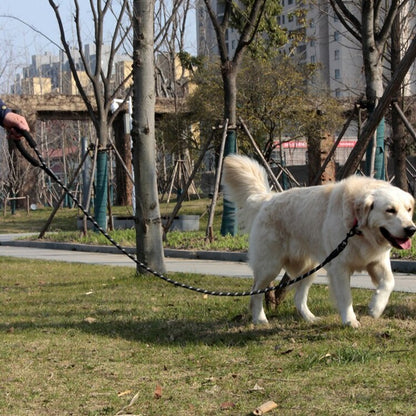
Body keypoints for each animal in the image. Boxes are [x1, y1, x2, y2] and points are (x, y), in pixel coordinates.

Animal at [223, 154, 414, 326]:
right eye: (390, 210)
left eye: (409, 209)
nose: (412, 230)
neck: (357, 228)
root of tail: (268, 199)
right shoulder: (339, 268)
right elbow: (346, 297)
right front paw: (350, 321)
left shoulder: (378, 261)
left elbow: (389, 282)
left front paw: (376, 308)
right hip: (270, 266)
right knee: (256, 292)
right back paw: (260, 319)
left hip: (311, 267)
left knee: (298, 297)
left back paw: (310, 318)